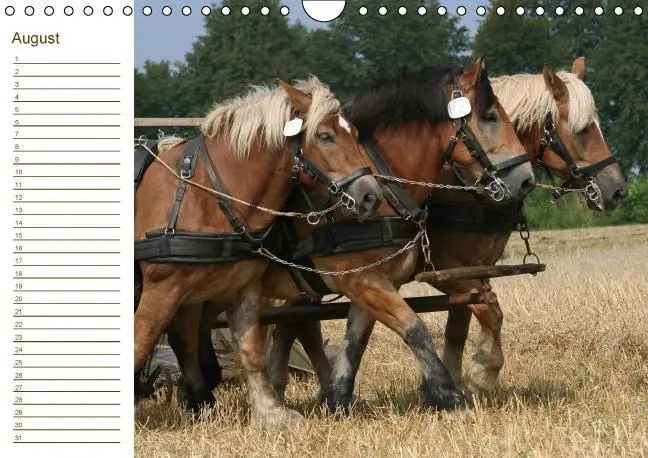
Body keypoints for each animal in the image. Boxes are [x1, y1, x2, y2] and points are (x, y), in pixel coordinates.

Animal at [133, 77, 385, 423]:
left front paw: (272, 413)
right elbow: (139, 345)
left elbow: (251, 351)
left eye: (356, 135)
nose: (371, 196)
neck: (206, 193)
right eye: (325, 136)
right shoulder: (162, 288)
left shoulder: (241, 287)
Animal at [175, 57, 536, 424]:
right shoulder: (367, 279)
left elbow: (356, 341)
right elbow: (416, 327)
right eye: (490, 116)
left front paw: (335, 398)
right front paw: (452, 392)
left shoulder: (379, 280)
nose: (526, 181)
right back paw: (201, 396)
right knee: (186, 333)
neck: (385, 186)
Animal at [266, 57, 628, 409]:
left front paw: (454, 381)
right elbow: (487, 309)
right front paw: (479, 374)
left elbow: (457, 326)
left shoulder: (465, 270)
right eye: (583, 130)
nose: (618, 189)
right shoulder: (439, 271)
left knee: (293, 326)